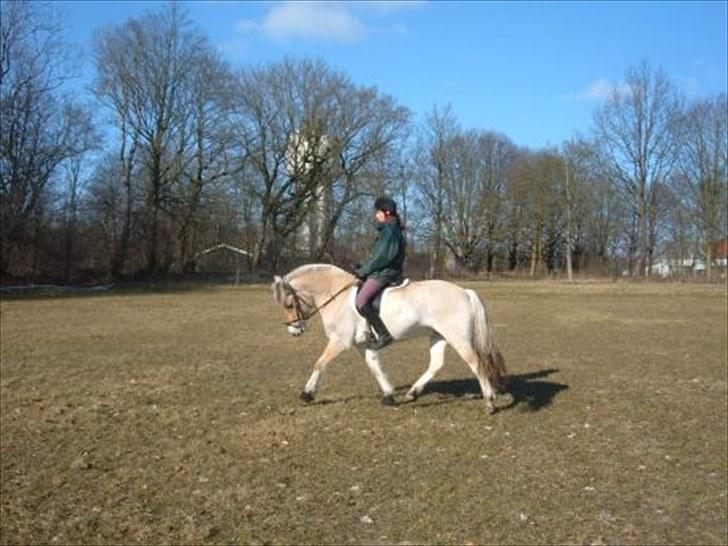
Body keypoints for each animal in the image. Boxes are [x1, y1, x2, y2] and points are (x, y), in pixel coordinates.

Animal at [272, 262, 506, 410]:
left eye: (289, 304)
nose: (294, 331)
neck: (336, 294)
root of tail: (465, 292)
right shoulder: (363, 345)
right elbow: (375, 367)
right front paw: (389, 395)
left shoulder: (340, 341)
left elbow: (320, 363)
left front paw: (307, 394)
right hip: (438, 335)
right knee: (436, 364)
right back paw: (413, 392)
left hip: (458, 338)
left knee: (476, 363)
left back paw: (489, 401)